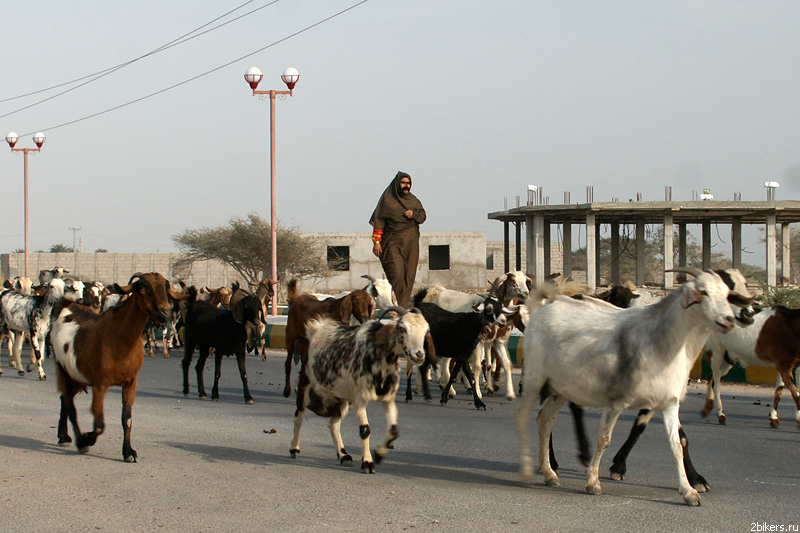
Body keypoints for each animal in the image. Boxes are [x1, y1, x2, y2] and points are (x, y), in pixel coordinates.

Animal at [50, 272, 185, 460]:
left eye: (166, 289)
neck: (120, 337)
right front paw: (86, 439)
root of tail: (66, 307)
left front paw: (128, 452)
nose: (165, 312)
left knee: (65, 399)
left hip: (76, 376)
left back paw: (63, 436)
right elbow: (99, 423)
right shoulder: (100, 384)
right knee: (70, 405)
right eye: (143, 289)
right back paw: (77, 440)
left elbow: (126, 418)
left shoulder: (130, 382)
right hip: (62, 369)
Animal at [290, 308, 434, 474]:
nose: (419, 355)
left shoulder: (388, 399)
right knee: (299, 417)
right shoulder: (360, 399)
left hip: (341, 399)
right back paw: (294, 449)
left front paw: (379, 454)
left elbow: (393, 431)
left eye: (426, 330)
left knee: (333, 424)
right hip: (305, 385)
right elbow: (365, 430)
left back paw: (343, 456)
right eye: (402, 328)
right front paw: (367, 463)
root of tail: (315, 330)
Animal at [516, 268, 740, 504]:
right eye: (703, 291)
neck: (660, 343)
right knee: (523, 416)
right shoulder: (616, 400)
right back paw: (528, 470)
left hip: (561, 388)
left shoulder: (668, 403)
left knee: (544, 420)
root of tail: (542, 309)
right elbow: (604, 439)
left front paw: (689, 491)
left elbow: (677, 444)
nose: (729, 320)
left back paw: (549, 473)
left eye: (726, 294)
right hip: (535, 378)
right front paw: (593, 482)